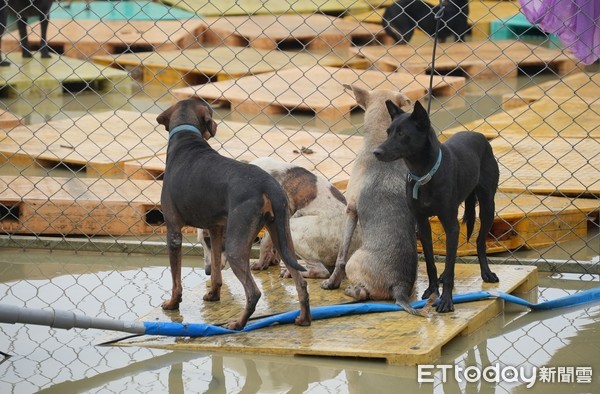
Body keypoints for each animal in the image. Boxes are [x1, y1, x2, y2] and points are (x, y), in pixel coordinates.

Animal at [155, 97, 312, 330]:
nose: (216, 126)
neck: (186, 137)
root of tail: (267, 184)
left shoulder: (173, 230)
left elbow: (176, 279)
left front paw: (173, 303)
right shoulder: (215, 228)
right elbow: (216, 273)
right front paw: (213, 295)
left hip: (236, 246)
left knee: (254, 292)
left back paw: (238, 324)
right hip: (281, 235)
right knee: (301, 282)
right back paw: (304, 319)